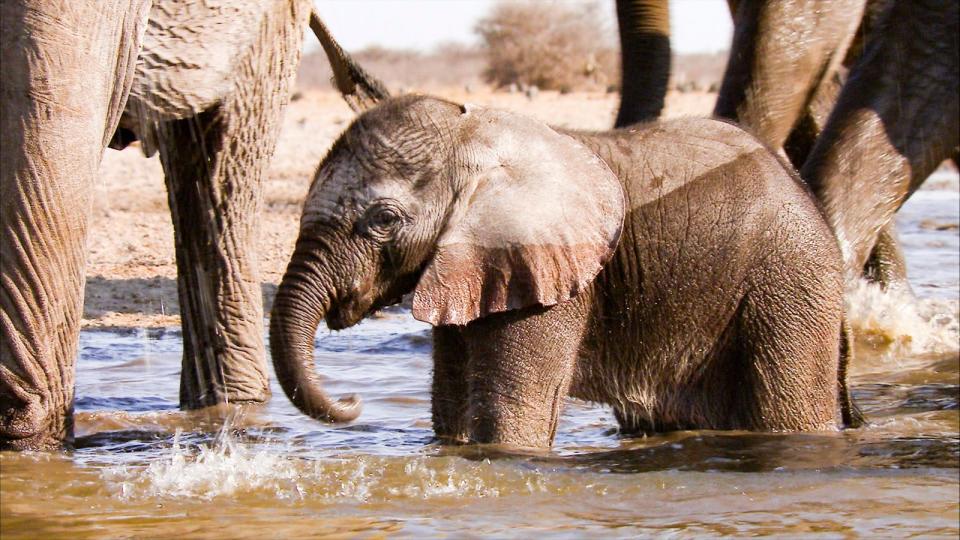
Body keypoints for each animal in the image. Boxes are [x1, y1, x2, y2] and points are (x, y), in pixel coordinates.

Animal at [268, 95, 856, 450]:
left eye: (384, 220)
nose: (353, 401)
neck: (473, 136)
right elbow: (451, 407)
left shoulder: (545, 272)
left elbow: (511, 415)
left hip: (790, 280)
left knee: (787, 406)